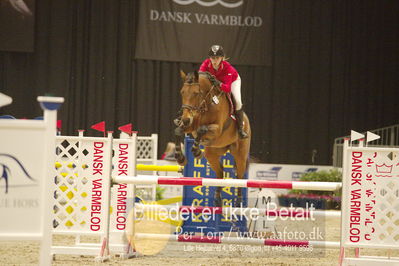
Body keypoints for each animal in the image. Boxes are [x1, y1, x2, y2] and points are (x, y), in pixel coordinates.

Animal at [174, 70, 252, 208]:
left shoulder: (217, 129)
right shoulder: (191, 125)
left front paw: (196, 152)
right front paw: (180, 157)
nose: (185, 119)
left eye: (196, 93)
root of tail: (246, 121)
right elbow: (178, 131)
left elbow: (201, 130)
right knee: (220, 172)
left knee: (240, 176)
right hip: (212, 153)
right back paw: (217, 199)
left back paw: (238, 202)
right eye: (182, 92)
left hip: (240, 155)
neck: (206, 103)